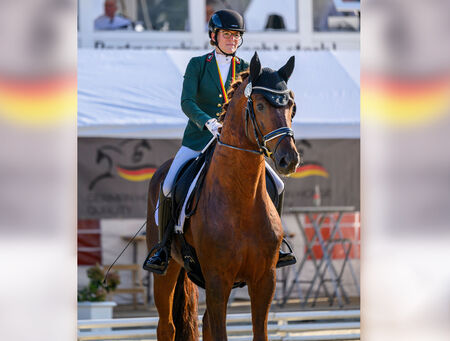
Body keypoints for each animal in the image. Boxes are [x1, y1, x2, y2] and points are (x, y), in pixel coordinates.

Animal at [146, 51, 298, 338]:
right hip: (166, 270)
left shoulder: (265, 280)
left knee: (203, 322)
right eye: (259, 106)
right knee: (167, 326)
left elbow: (259, 332)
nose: (289, 159)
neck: (242, 199)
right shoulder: (218, 280)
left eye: (292, 107)